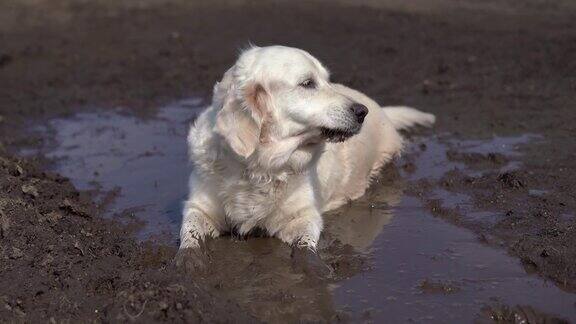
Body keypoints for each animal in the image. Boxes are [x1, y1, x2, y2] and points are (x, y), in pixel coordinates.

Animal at [178, 45, 434, 268]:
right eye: (308, 83)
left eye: (327, 79)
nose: (362, 112)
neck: (259, 166)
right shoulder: (199, 207)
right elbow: (189, 235)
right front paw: (188, 262)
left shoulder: (303, 216)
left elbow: (305, 245)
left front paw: (312, 268)